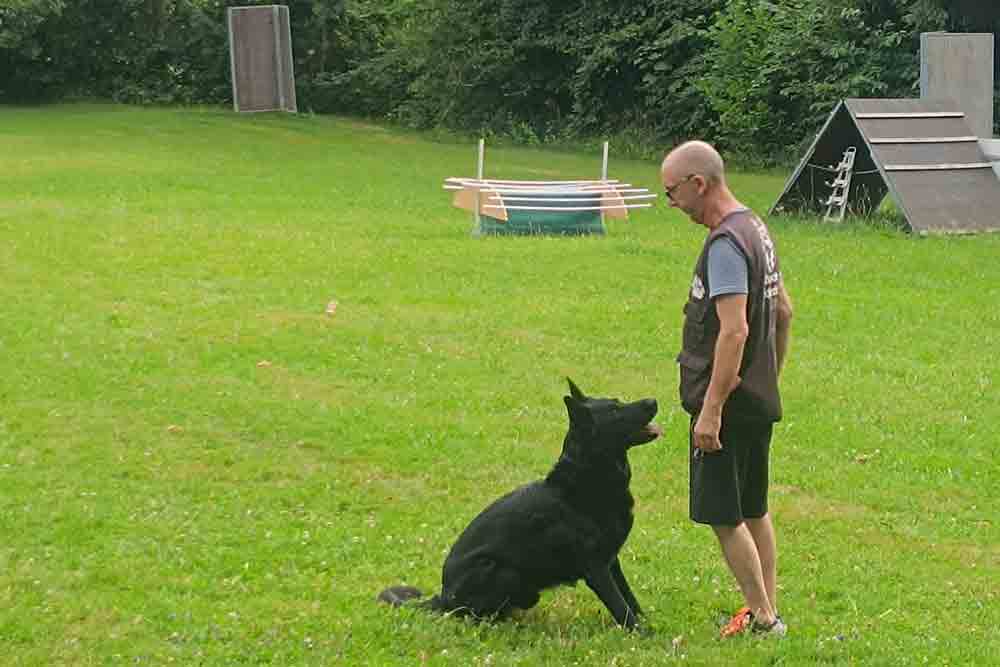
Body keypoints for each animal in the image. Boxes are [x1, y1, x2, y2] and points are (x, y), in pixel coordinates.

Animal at [378, 379, 661, 630]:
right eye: (614, 410)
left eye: (618, 401)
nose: (653, 400)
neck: (588, 480)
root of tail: (442, 596)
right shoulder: (596, 568)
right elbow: (622, 609)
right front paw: (643, 636)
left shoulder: (612, 561)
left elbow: (630, 600)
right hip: (499, 570)